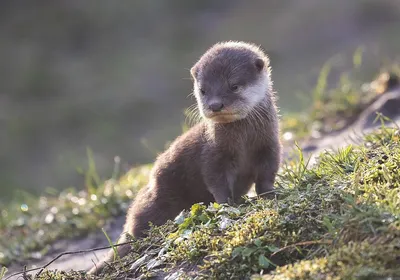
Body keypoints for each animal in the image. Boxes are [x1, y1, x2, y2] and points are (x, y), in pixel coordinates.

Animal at [87, 41, 282, 276]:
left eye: (234, 86)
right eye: (203, 90)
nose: (215, 105)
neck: (243, 143)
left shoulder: (269, 146)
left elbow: (267, 174)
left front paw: (271, 193)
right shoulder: (213, 154)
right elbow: (216, 182)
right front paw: (228, 205)